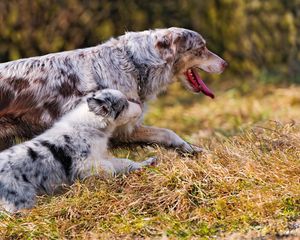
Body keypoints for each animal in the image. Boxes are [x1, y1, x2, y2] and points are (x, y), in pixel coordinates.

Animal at [0, 27, 226, 153]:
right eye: (202, 48)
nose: (225, 64)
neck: (134, 64)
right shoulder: (120, 128)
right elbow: (167, 132)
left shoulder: (127, 129)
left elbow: (166, 134)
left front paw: (192, 150)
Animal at [0, 89, 155, 212]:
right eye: (125, 105)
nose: (140, 105)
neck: (91, 125)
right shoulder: (86, 164)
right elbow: (109, 168)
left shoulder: (101, 156)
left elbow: (125, 162)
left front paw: (148, 162)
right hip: (20, 200)